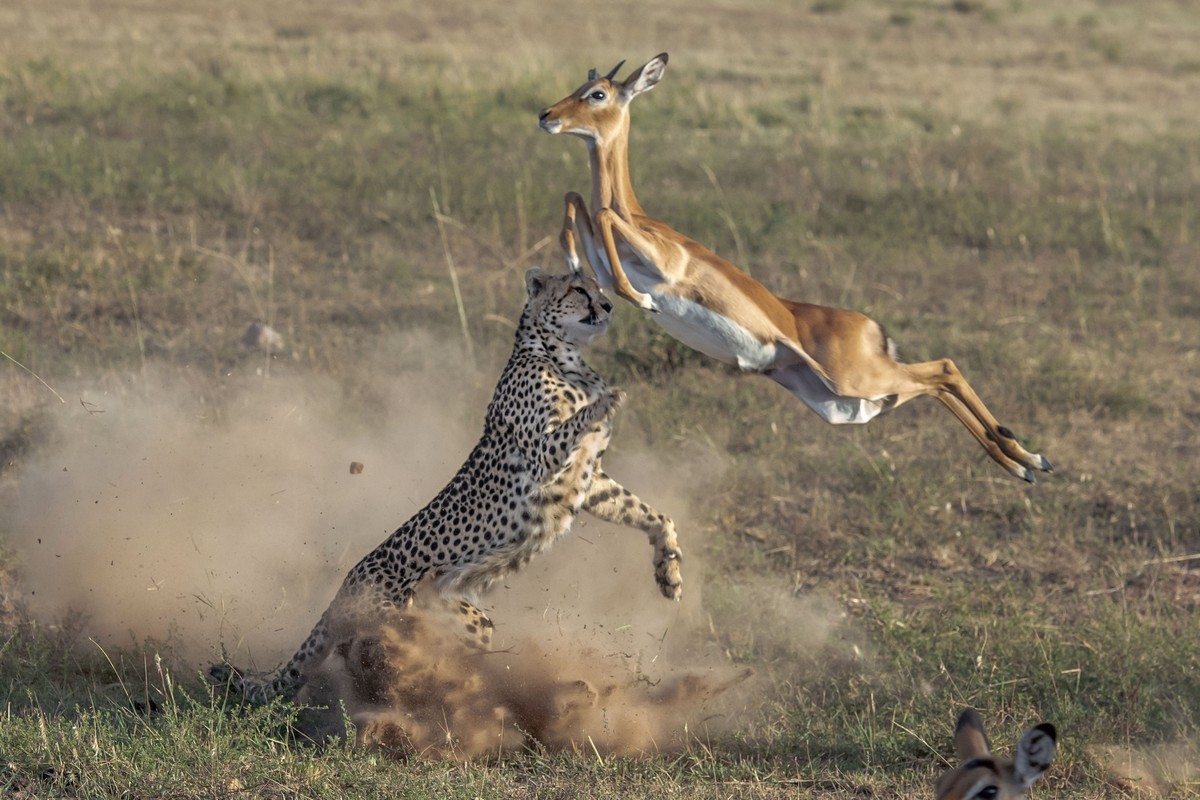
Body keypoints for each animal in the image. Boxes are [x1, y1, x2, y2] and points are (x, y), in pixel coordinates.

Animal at [213, 267, 686, 700]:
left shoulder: (590, 480)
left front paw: (668, 571)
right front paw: (607, 400)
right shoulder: (542, 457)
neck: (562, 356)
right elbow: (579, 420)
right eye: (577, 289)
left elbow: (649, 514)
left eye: (599, 287)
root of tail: (343, 588)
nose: (607, 306)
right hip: (430, 616)